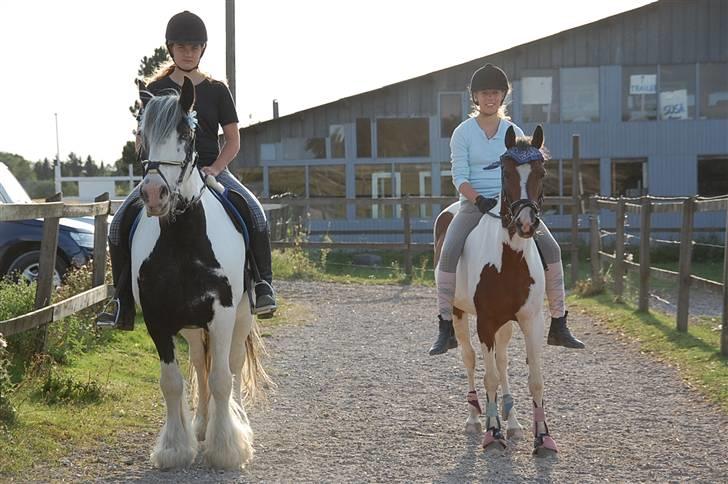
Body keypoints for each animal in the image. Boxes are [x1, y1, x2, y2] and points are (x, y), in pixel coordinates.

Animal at [132, 78, 270, 468]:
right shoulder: (157, 319)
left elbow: (224, 377)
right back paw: (203, 424)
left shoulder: (222, 314)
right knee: (199, 364)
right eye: (142, 133)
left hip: (241, 315)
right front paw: (175, 448)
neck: (183, 241)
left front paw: (227, 450)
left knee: (231, 366)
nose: (154, 194)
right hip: (192, 326)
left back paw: (233, 426)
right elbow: (172, 382)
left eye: (185, 132)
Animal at [432, 124, 556, 454]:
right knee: (471, 358)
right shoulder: (485, 322)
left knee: (502, 363)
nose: (526, 223)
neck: (508, 260)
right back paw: (475, 419)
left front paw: (543, 437)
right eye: (506, 172)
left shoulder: (531, 320)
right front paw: (492, 431)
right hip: (460, 314)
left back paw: (512, 422)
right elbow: (488, 377)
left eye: (542, 172)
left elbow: (534, 378)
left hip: (505, 324)